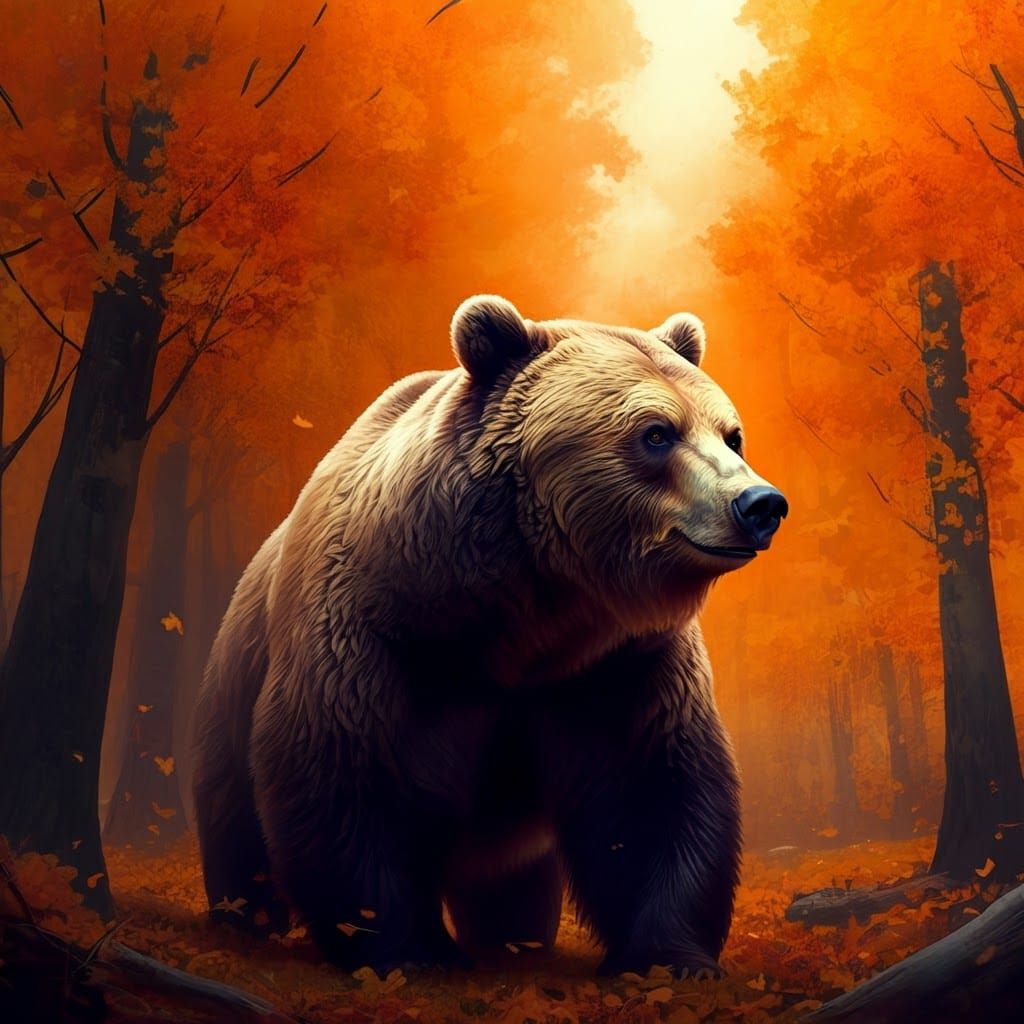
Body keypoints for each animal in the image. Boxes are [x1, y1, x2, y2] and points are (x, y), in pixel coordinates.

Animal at [191, 295, 787, 976]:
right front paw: (408, 952)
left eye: (731, 433)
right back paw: (247, 921)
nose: (759, 503)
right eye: (657, 433)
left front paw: (667, 956)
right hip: (232, 692)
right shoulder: (374, 634)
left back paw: (513, 936)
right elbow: (346, 776)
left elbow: (653, 790)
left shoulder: (620, 664)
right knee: (235, 826)